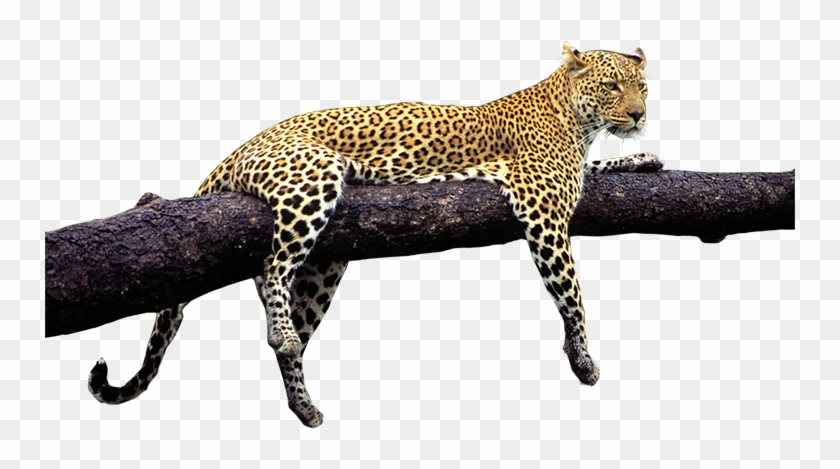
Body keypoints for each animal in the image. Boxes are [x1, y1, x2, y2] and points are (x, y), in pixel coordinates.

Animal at [87, 43, 662, 427]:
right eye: (612, 85)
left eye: (642, 87)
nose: (639, 115)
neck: (577, 120)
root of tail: (236, 151)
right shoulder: (543, 206)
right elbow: (573, 293)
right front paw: (583, 358)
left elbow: (604, 169)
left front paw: (643, 158)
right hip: (311, 178)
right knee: (274, 270)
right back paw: (282, 333)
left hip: (323, 267)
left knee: (290, 328)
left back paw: (303, 404)